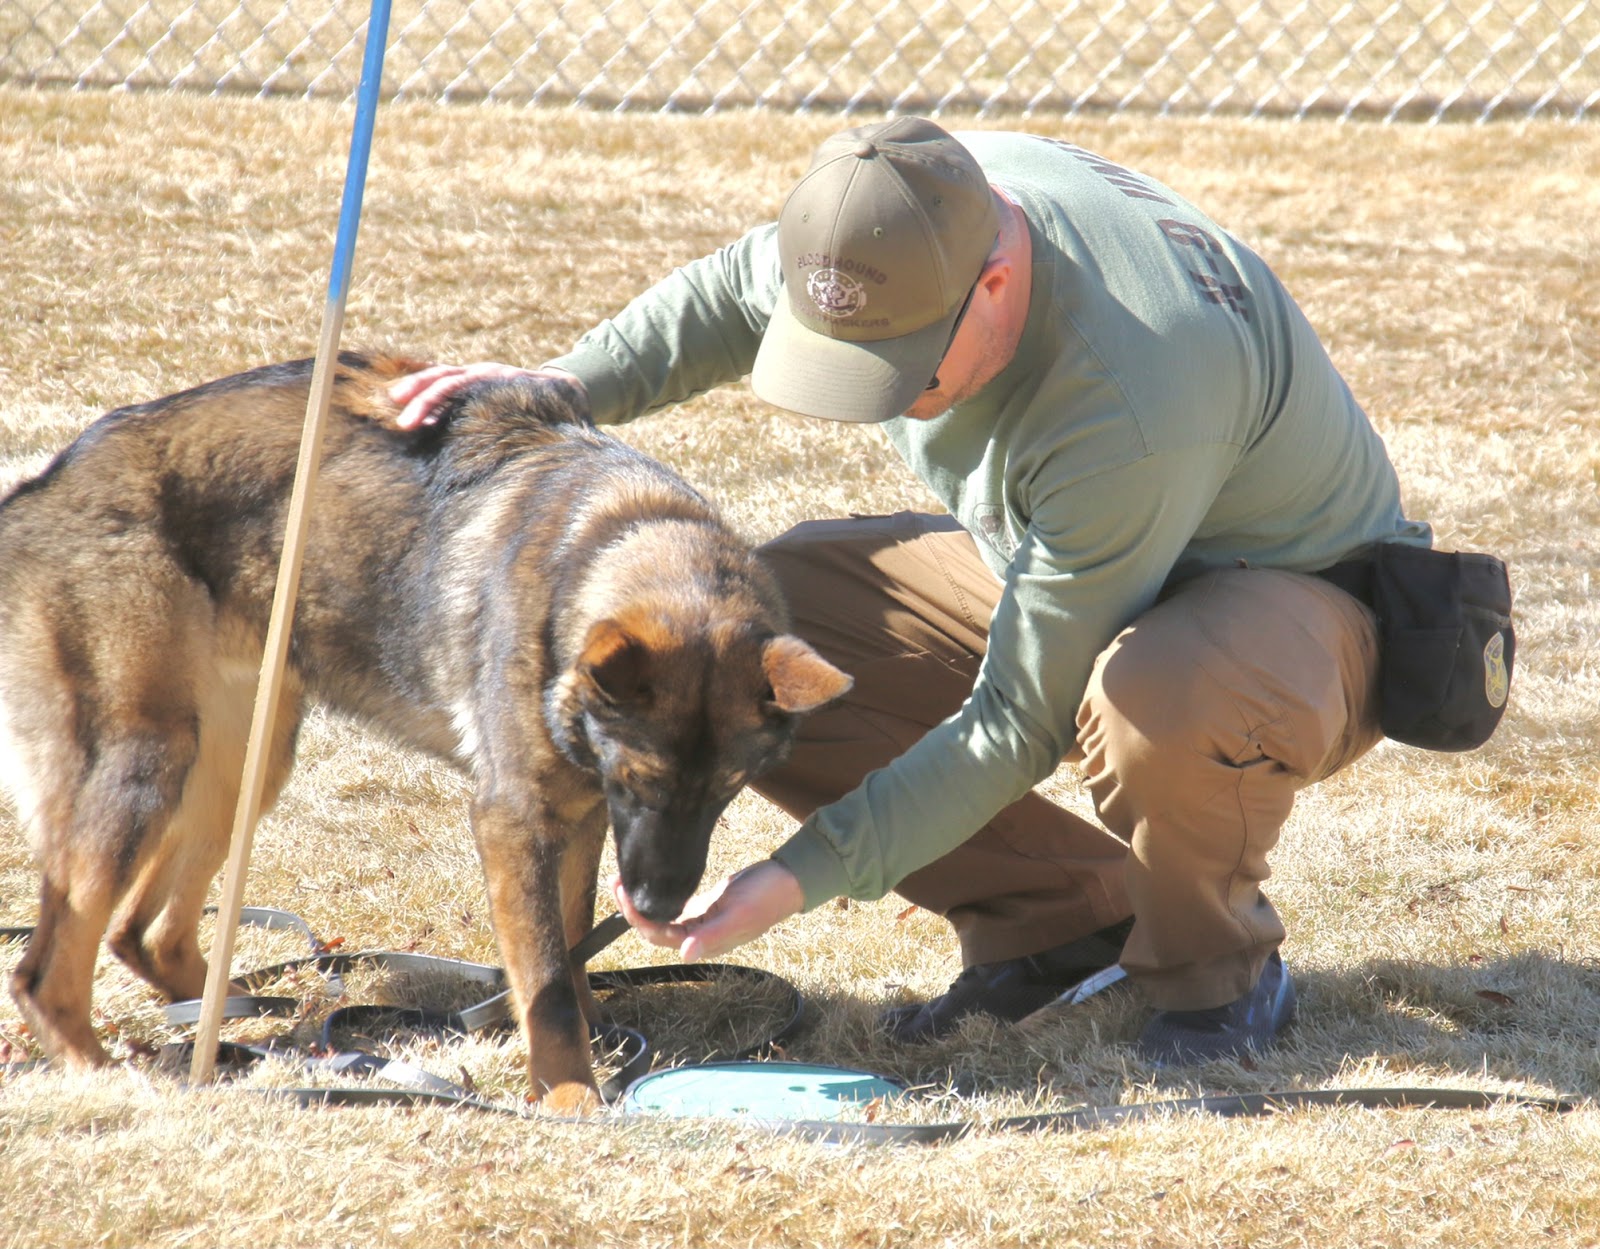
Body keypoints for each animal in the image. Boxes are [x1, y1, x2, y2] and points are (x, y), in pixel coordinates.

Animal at [0, 353, 857, 1113]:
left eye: (727, 792)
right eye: (640, 783)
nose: (658, 904)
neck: (604, 544)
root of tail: (41, 486)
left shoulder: (578, 817)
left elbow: (571, 943)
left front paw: (598, 1038)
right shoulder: (516, 819)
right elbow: (547, 980)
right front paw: (571, 1092)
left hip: (241, 758)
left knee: (143, 933)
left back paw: (244, 1027)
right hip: (146, 761)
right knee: (47, 968)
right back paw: (109, 1071)